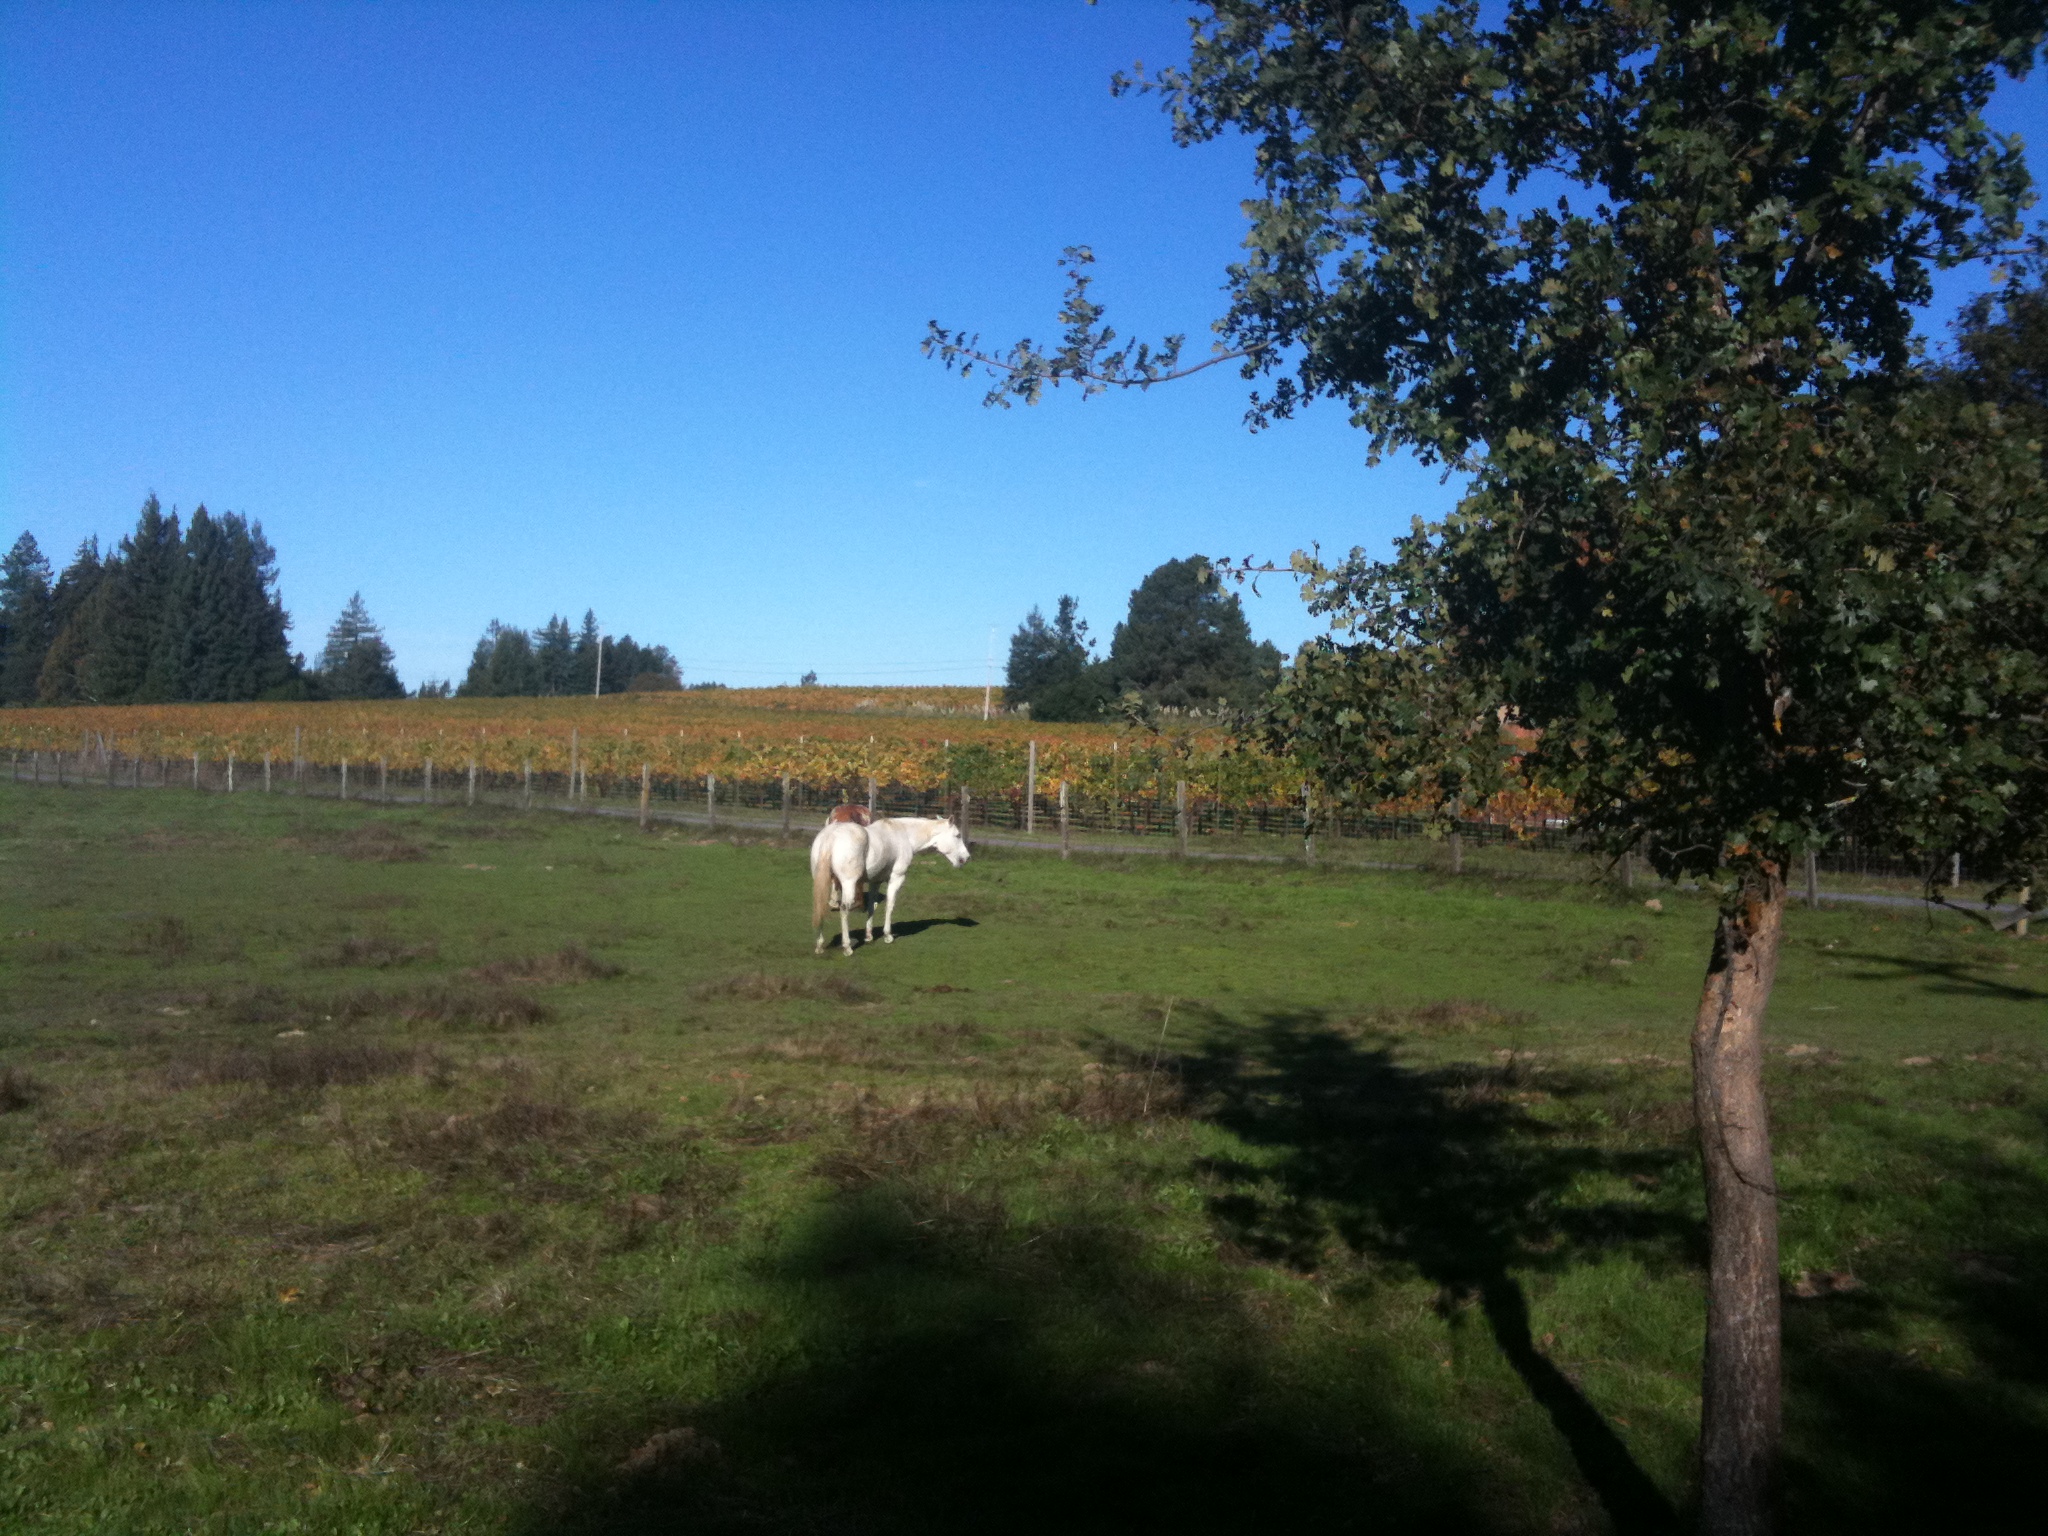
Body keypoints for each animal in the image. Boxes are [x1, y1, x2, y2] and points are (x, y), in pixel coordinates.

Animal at [811, 816, 970, 956]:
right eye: (957, 835)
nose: (967, 857)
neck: (904, 834)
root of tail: (831, 835)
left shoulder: (875, 882)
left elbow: (871, 906)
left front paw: (869, 936)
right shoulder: (896, 878)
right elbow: (890, 905)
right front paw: (888, 936)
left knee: (820, 907)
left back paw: (819, 945)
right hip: (848, 885)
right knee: (844, 910)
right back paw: (847, 947)